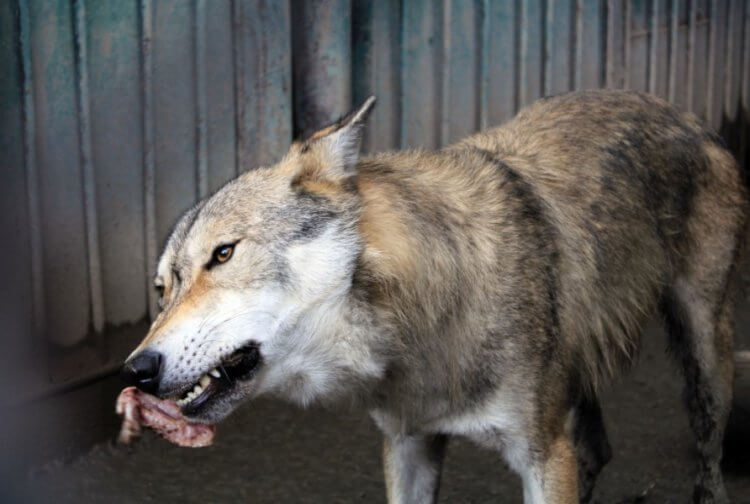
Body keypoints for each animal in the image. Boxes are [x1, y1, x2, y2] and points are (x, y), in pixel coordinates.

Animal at [120, 89, 748, 500]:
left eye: (223, 254)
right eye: (163, 289)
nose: (136, 370)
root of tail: (687, 114)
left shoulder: (544, 454)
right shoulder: (409, 447)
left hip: (704, 355)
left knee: (708, 453)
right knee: (599, 450)